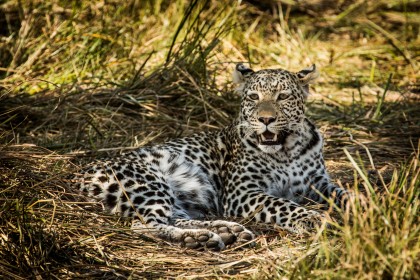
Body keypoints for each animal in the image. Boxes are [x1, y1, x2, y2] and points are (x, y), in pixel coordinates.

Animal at [72, 63, 352, 252]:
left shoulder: (318, 183)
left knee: (173, 216)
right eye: (254, 97)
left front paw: (362, 205)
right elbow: (281, 204)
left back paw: (226, 231)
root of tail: (77, 172)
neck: (287, 151)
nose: (266, 119)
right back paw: (200, 238)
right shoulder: (242, 193)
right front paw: (310, 218)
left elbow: (345, 193)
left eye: (283, 96)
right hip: (146, 182)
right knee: (145, 224)